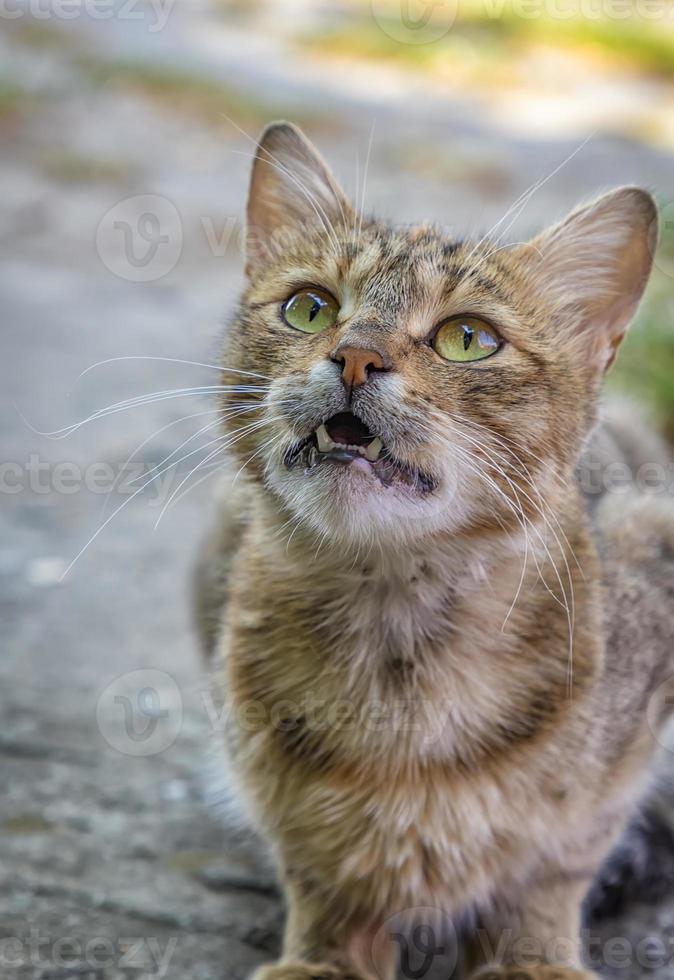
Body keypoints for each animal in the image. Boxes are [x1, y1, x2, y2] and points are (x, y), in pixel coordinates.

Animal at [193, 122, 672, 980]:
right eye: (310, 308)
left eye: (467, 338)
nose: (355, 355)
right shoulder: (274, 781)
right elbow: (322, 866)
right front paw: (324, 956)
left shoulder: (616, 763)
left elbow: (549, 871)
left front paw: (532, 959)